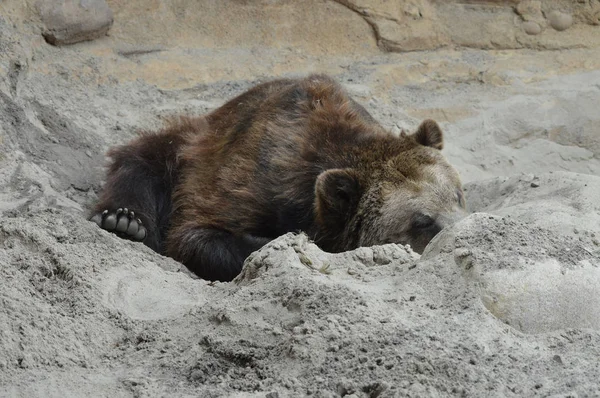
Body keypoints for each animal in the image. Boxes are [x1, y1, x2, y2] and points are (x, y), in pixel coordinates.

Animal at [90, 74, 468, 280]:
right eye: (421, 221)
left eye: (458, 194)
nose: (459, 232)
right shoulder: (245, 183)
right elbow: (197, 235)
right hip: (190, 147)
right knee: (146, 156)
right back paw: (125, 218)